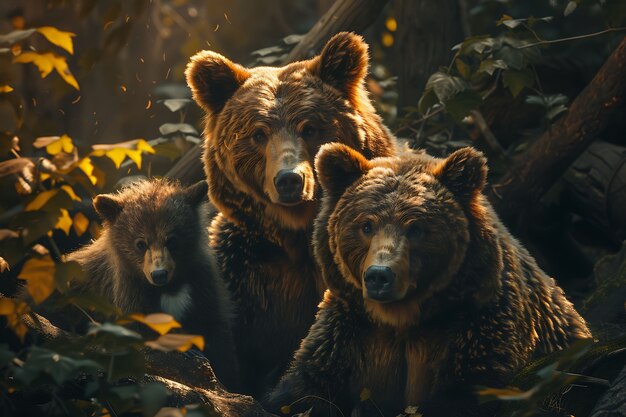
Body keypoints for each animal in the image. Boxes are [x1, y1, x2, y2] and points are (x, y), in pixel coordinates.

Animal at [65, 180, 236, 390]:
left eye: (172, 240)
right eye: (140, 243)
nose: (159, 274)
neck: (170, 288)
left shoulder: (202, 283)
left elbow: (217, 333)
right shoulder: (127, 290)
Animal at [268, 144, 588, 416]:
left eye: (416, 228)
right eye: (366, 225)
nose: (379, 276)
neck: (403, 320)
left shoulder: (478, 326)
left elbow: (464, 393)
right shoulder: (348, 333)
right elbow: (303, 390)